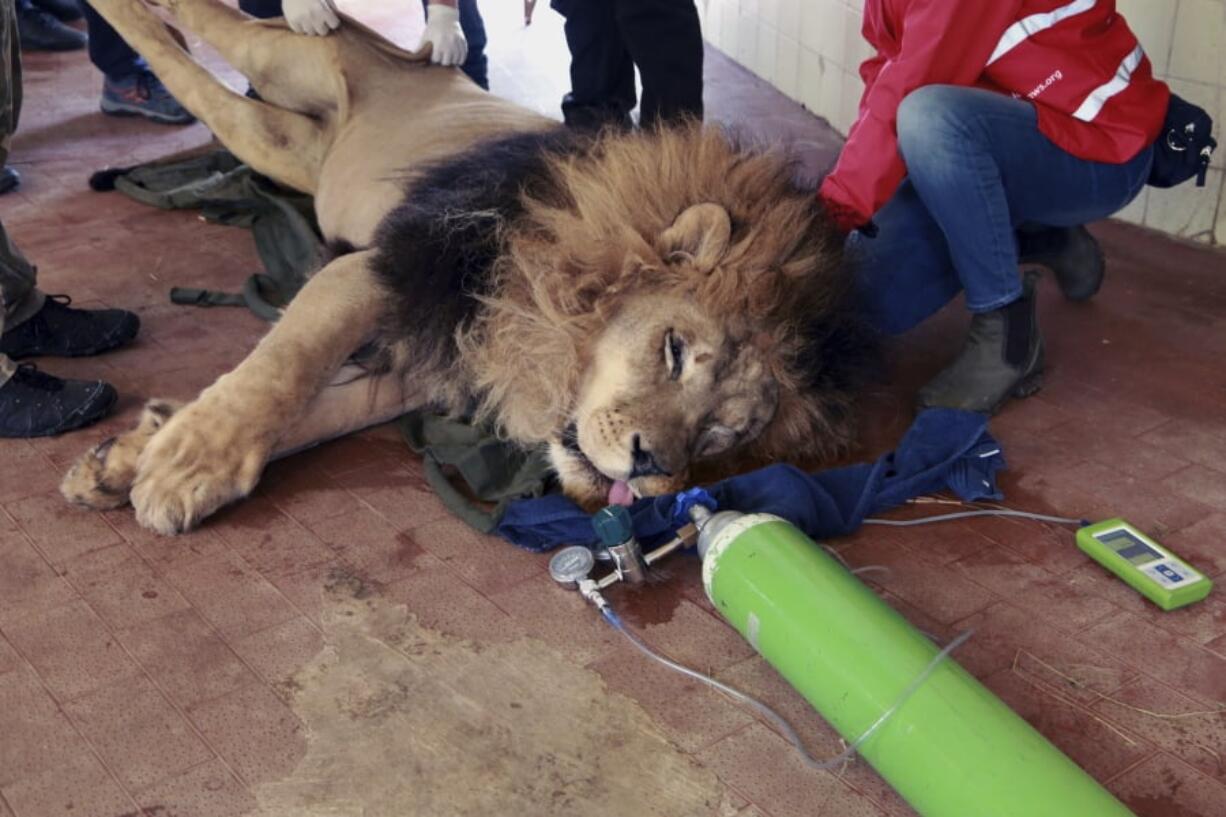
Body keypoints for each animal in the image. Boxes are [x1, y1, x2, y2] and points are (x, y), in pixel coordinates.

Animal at [59, 0, 872, 534]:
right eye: (673, 351)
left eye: (719, 437)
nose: (651, 468)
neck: (543, 318)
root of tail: (414, 60)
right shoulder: (381, 269)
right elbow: (281, 373)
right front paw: (189, 465)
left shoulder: (432, 360)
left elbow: (318, 413)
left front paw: (130, 457)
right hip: (282, 66)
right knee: (195, 25)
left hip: (279, 140)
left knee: (196, 67)